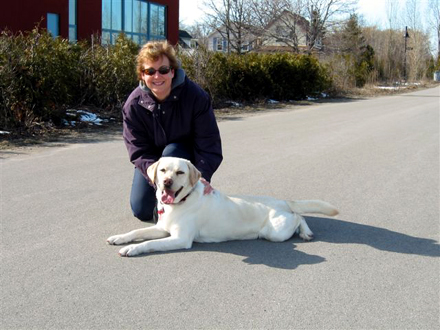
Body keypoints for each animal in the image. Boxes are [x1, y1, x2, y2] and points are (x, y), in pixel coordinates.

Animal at [107, 156, 340, 256]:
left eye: (180, 172)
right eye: (163, 170)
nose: (166, 182)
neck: (182, 201)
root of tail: (281, 200)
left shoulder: (180, 239)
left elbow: (149, 243)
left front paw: (132, 249)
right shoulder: (162, 228)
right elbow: (137, 232)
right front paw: (119, 238)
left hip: (274, 232)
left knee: (299, 216)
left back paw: (306, 232)